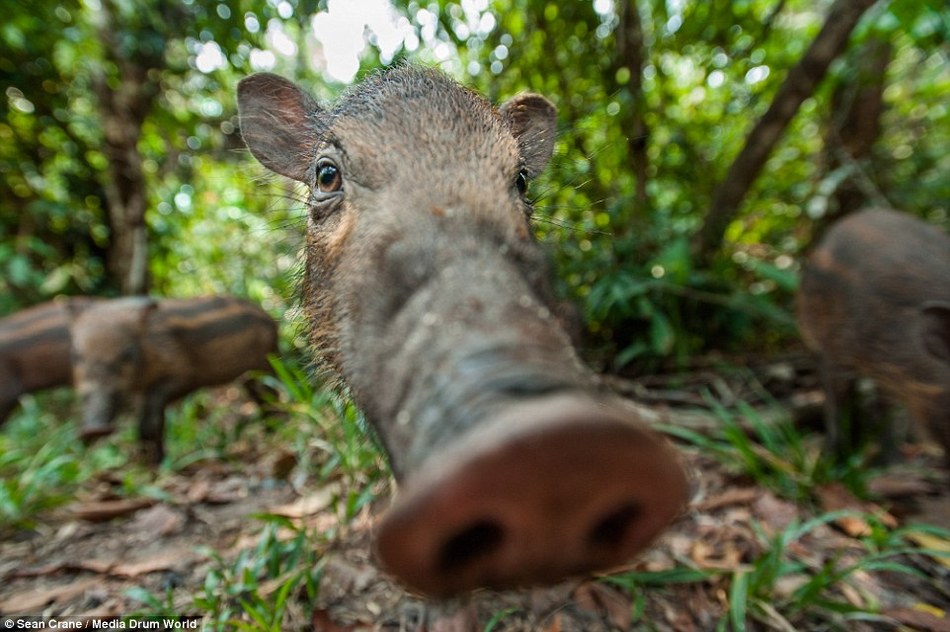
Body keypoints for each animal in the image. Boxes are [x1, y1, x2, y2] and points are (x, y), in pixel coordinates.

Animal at [68, 294, 278, 462]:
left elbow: (151, 422)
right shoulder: (140, 393)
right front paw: (150, 462)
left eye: (127, 354)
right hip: (250, 376)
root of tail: (270, 318)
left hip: (267, 365)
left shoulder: (180, 376)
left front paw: (158, 463)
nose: (93, 431)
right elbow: (146, 424)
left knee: (272, 394)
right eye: (78, 356)